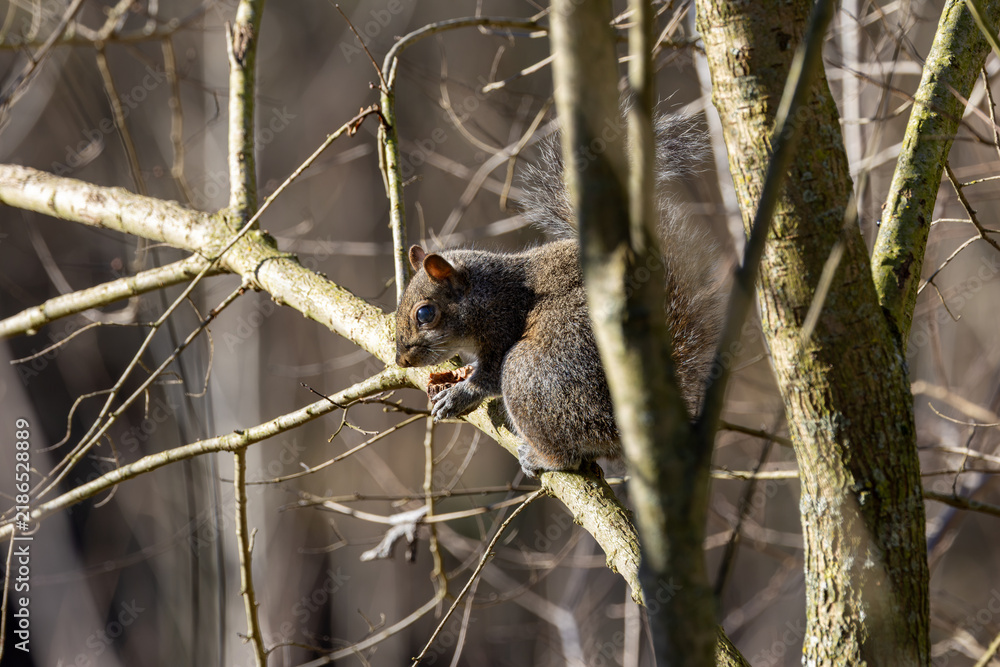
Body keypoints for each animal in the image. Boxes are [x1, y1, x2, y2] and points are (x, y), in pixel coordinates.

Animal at [395, 114, 725, 477]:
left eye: (425, 314)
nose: (401, 361)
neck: (487, 290)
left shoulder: (502, 323)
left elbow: (489, 377)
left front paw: (459, 395)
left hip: (531, 376)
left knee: (567, 454)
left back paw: (541, 457)